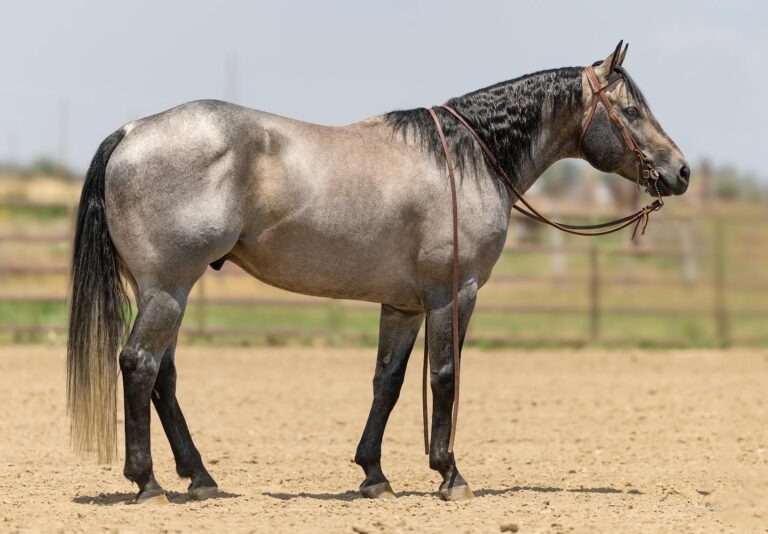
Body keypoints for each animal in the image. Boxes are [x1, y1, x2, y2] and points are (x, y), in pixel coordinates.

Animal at [67, 42, 689, 504]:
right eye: (632, 111)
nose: (680, 171)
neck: (468, 159)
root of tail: (131, 132)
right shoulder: (453, 296)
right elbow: (444, 376)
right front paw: (449, 474)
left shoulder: (404, 306)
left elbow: (387, 383)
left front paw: (374, 475)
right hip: (168, 288)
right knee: (139, 365)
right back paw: (147, 484)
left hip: (168, 290)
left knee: (163, 376)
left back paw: (200, 478)